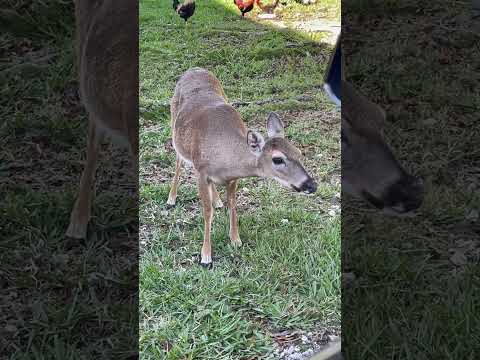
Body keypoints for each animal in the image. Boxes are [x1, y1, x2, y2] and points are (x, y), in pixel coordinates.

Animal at [167, 67, 316, 268]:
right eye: (277, 159)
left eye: (299, 153)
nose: (311, 185)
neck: (224, 157)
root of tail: (193, 69)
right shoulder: (201, 171)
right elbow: (207, 212)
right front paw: (206, 256)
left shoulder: (232, 178)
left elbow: (233, 204)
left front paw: (236, 240)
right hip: (175, 126)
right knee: (178, 161)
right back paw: (171, 198)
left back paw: (217, 200)